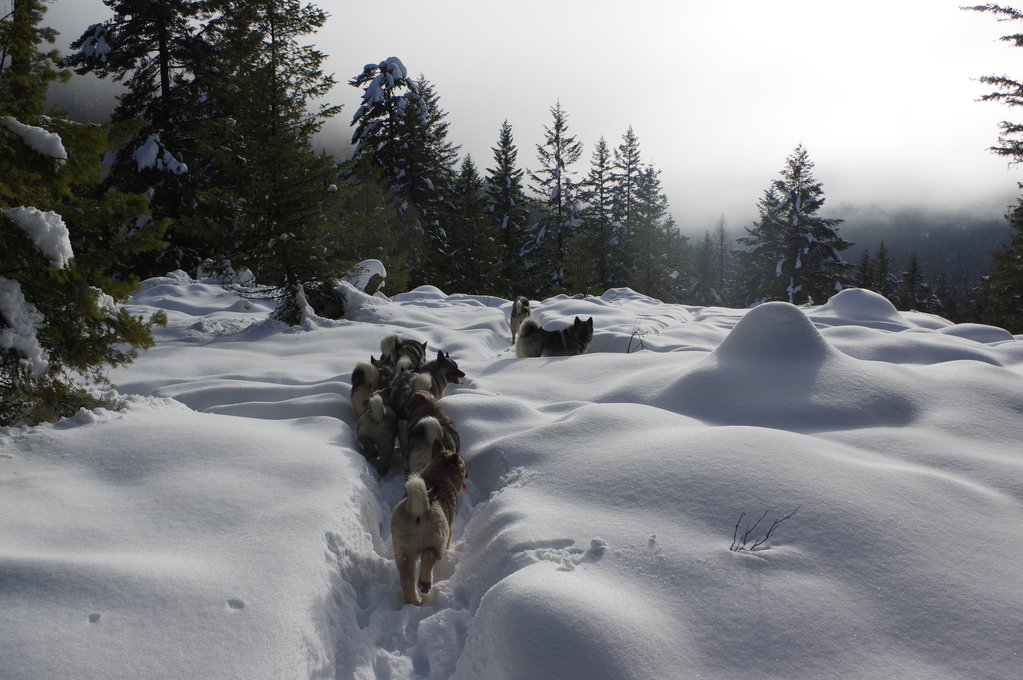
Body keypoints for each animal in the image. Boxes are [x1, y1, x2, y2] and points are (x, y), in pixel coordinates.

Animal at [390, 439, 468, 606]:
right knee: (429, 556)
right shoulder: (449, 532)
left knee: (406, 578)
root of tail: (418, 507)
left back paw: (415, 601)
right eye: (463, 465)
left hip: (404, 549)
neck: (438, 473)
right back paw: (425, 583)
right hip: (437, 539)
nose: (467, 473)